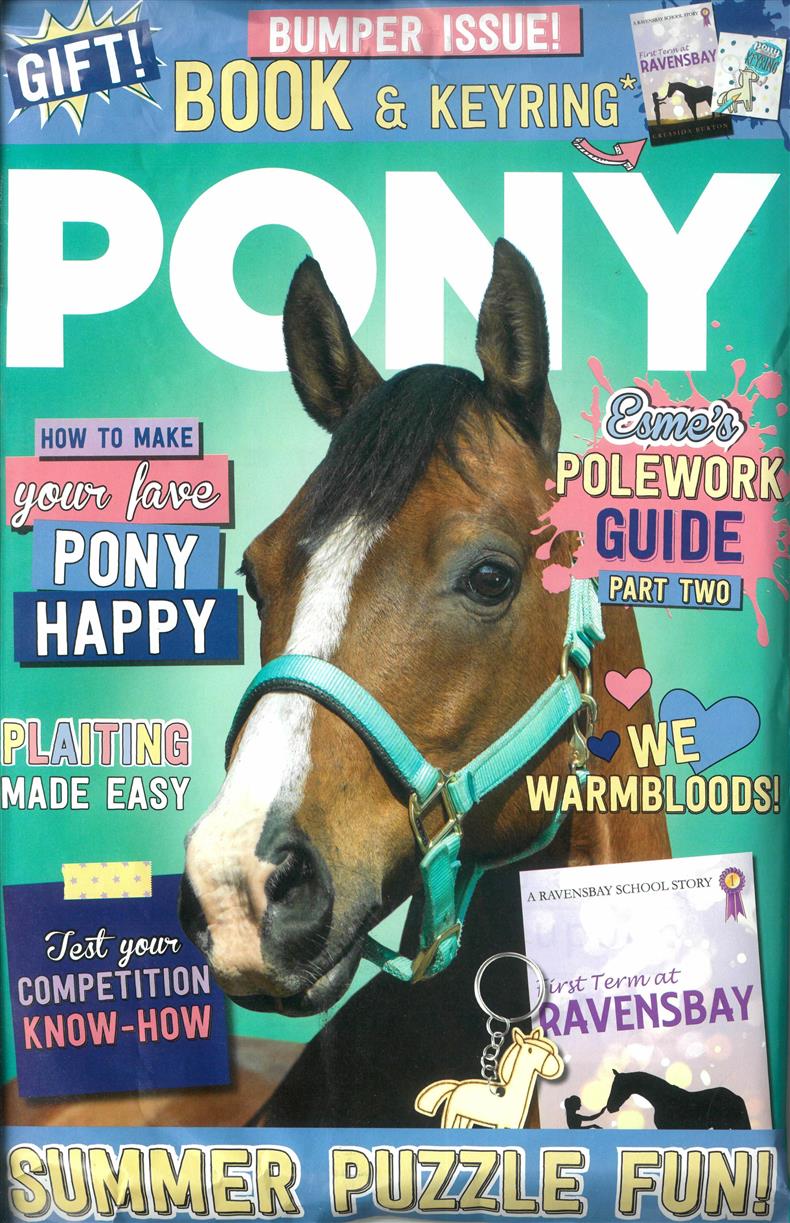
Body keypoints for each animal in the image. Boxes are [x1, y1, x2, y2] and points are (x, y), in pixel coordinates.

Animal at [415, 1027, 563, 1129]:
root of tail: (456, 1086)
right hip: (453, 1113)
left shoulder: (514, 1125)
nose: (555, 1065)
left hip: (465, 1118)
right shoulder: (500, 1124)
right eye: (530, 1050)